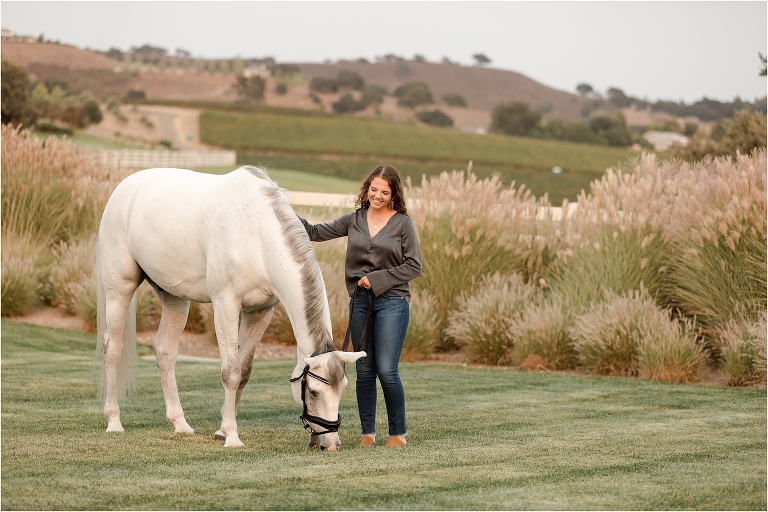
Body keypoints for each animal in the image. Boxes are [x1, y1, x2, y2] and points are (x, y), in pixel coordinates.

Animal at [94, 165, 365, 450]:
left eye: (343, 389)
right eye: (313, 391)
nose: (331, 443)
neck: (256, 233)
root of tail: (126, 186)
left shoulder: (259, 313)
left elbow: (243, 373)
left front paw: (222, 430)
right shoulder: (226, 305)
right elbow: (230, 372)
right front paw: (232, 436)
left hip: (174, 297)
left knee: (165, 351)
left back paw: (180, 423)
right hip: (119, 288)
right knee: (113, 348)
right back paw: (114, 421)